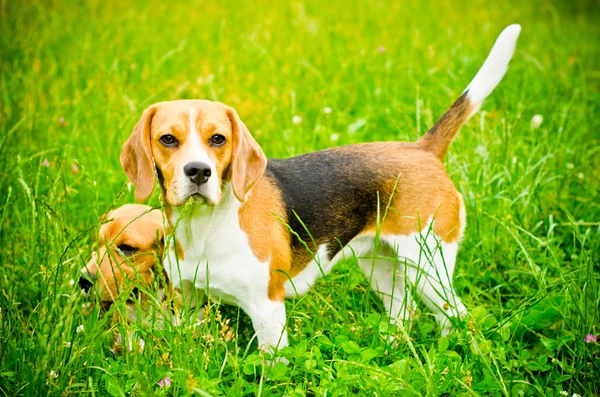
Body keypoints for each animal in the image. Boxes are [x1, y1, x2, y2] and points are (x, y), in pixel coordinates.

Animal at [120, 25, 520, 352]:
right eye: (168, 139)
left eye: (218, 139)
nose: (199, 171)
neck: (205, 226)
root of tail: (423, 149)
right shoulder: (187, 303)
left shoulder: (268, 309)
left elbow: (272, 369)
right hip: (381, 264)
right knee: (402, 311)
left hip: (430, 265)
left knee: (457, 317)